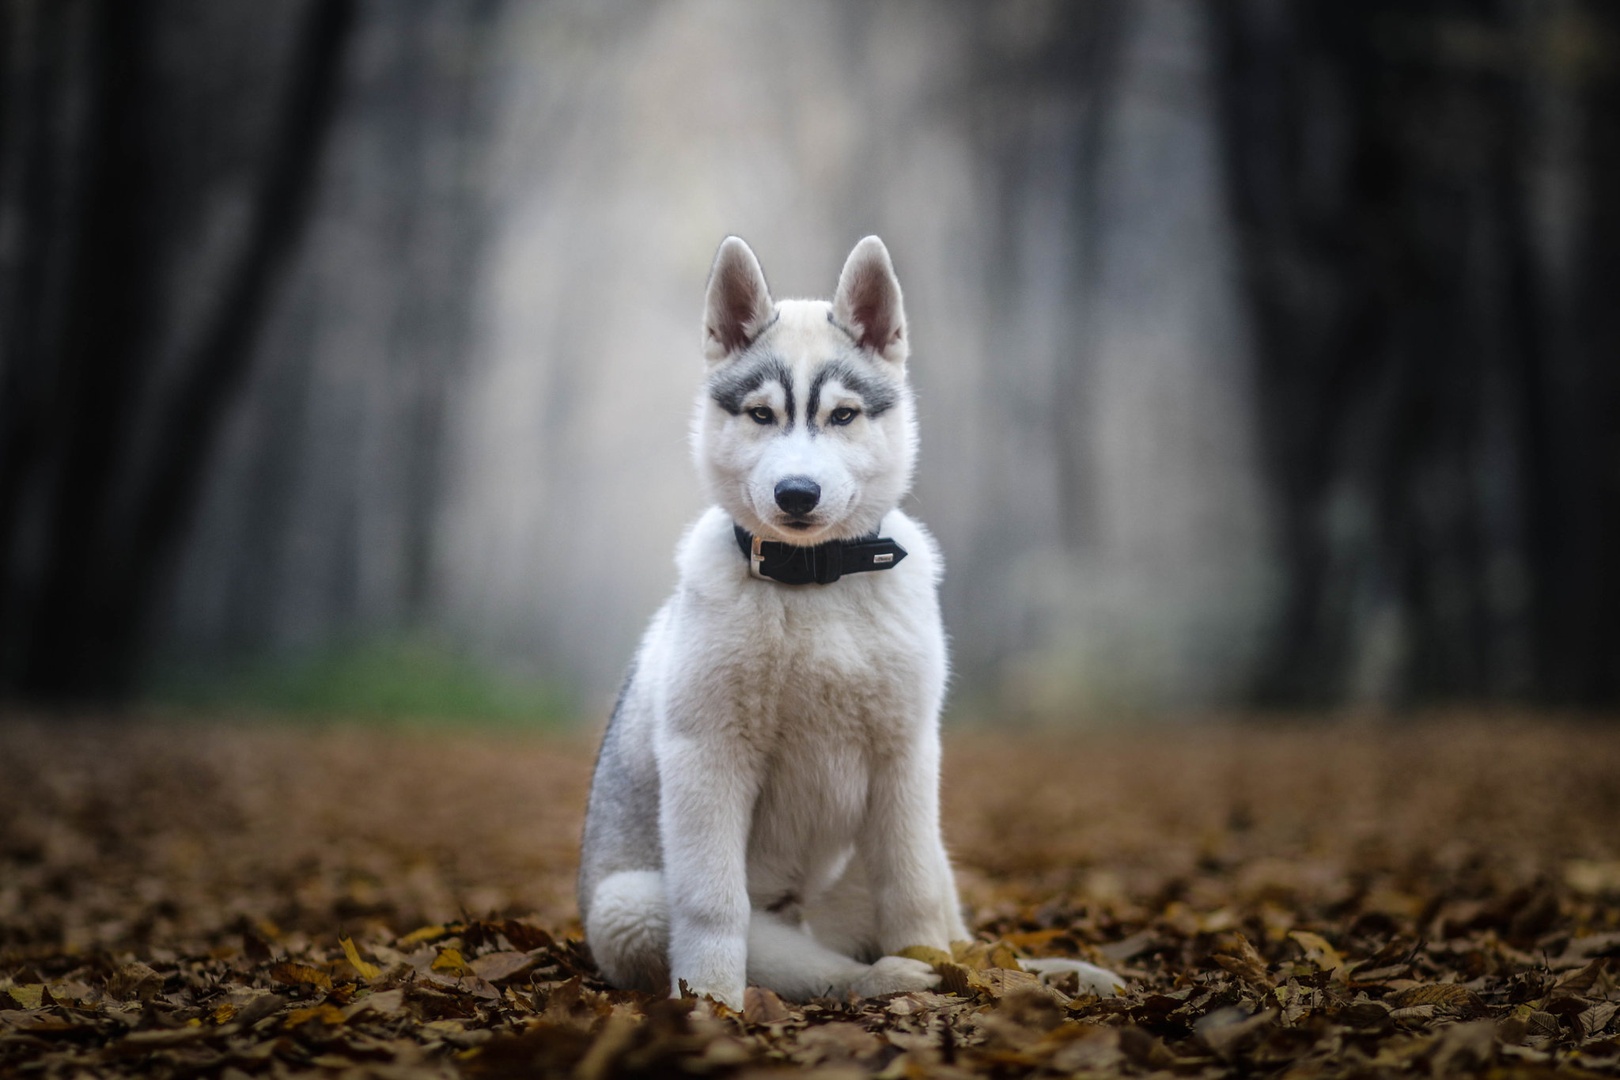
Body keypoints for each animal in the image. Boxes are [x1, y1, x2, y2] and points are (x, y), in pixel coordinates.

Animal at [576, 235, 1120, 1007]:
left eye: (842, 416)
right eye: (762, 415)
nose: (797, 493)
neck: (814, 581)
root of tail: (807, 913)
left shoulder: (906, 753)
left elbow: (912, 892)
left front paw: (952, 974)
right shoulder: (708, 753)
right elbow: (713, 905)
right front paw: (709, 1005)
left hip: (910, 848)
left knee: (943, 922)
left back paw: (1039, 973)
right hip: (636, 904)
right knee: (817, 965)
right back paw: (886, 978)